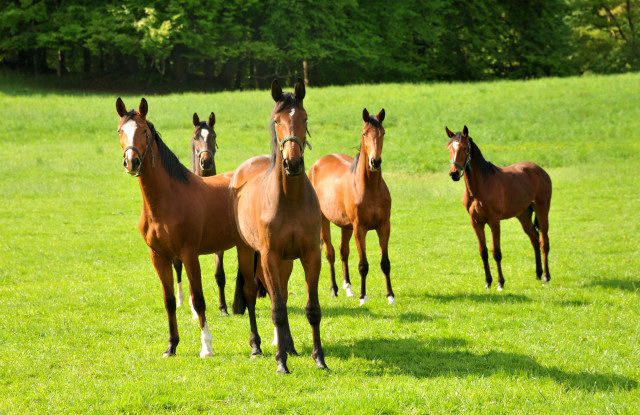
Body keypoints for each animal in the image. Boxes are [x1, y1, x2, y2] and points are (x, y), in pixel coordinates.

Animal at [172, 112, 230, 316]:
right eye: (196, 137)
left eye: (213, 135)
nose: (205, 161)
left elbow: (219, 274)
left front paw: (223, 308)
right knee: (178, 268)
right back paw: (182, 300)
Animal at [229, 78, 328, 374]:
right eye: (277, 121)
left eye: (304, 118)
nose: (292, 162)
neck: (289, 200)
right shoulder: (269, 256)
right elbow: (278, 311)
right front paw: (281, 363)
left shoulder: (310, 255)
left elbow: (312, 309)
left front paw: (319, 359)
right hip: (247, 252)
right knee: (252, 295)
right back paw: (257, 347)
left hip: (285, 261)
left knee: (281, 293)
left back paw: (291, 346)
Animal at [308, 109, 392, 308]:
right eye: (364, 133)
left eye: (383, 133)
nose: (375, 162)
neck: (370, 188)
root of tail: (317, 164)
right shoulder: (359, 229)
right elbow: (363, 265)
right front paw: (363, 297)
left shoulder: (384, 226)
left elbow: (385, 262)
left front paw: (390, 297)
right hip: (325, 221)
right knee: (330, 253)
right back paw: (334, 290)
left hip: (346, 226)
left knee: (343, 251)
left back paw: (348, 288)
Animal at [448, 125, 552, 290]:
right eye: (449, 148)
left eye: (464, 148)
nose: (454, 173)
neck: (479, 187)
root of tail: (541, 170)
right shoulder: (476, 222)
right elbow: (483, 252)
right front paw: (487, 282)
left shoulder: (494, 221)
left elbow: (496, 252)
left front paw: (500, 283)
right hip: (523, 215)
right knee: (535, 239)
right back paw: (538, 274)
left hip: (542, 210)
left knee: (544, 242)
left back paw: (546, 277)